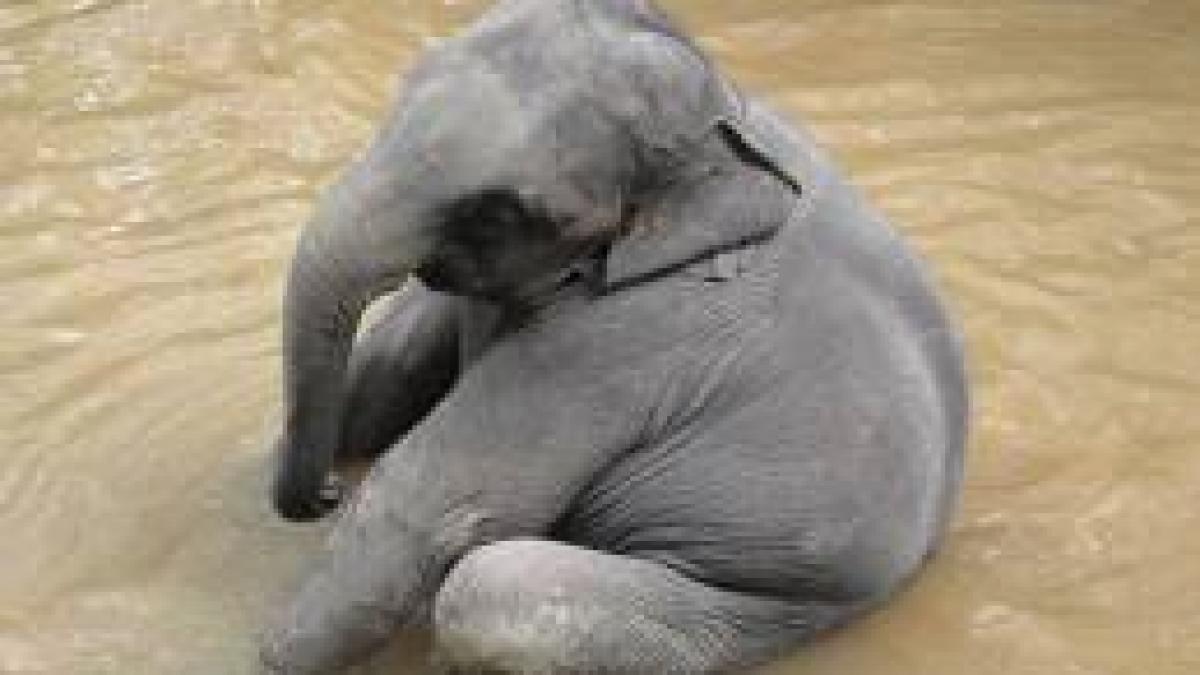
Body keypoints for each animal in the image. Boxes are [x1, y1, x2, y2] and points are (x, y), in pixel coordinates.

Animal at [262, 0, 968, 673]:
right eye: (406, 85)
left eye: (502, 211)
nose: (328, 491)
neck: (725, 115)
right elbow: (390, 371)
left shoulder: (628, 337)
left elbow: (417, 506)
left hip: (776, 599)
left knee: (486, 594)